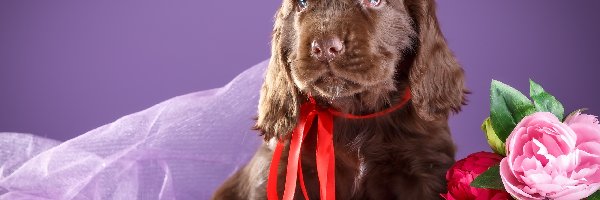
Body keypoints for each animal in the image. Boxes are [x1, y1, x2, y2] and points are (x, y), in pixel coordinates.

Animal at [213, 0, 466, 198]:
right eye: (302, 3)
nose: (324, 47)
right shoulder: (281, 171)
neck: (354, 113)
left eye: (374, 0)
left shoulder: (425, 167)